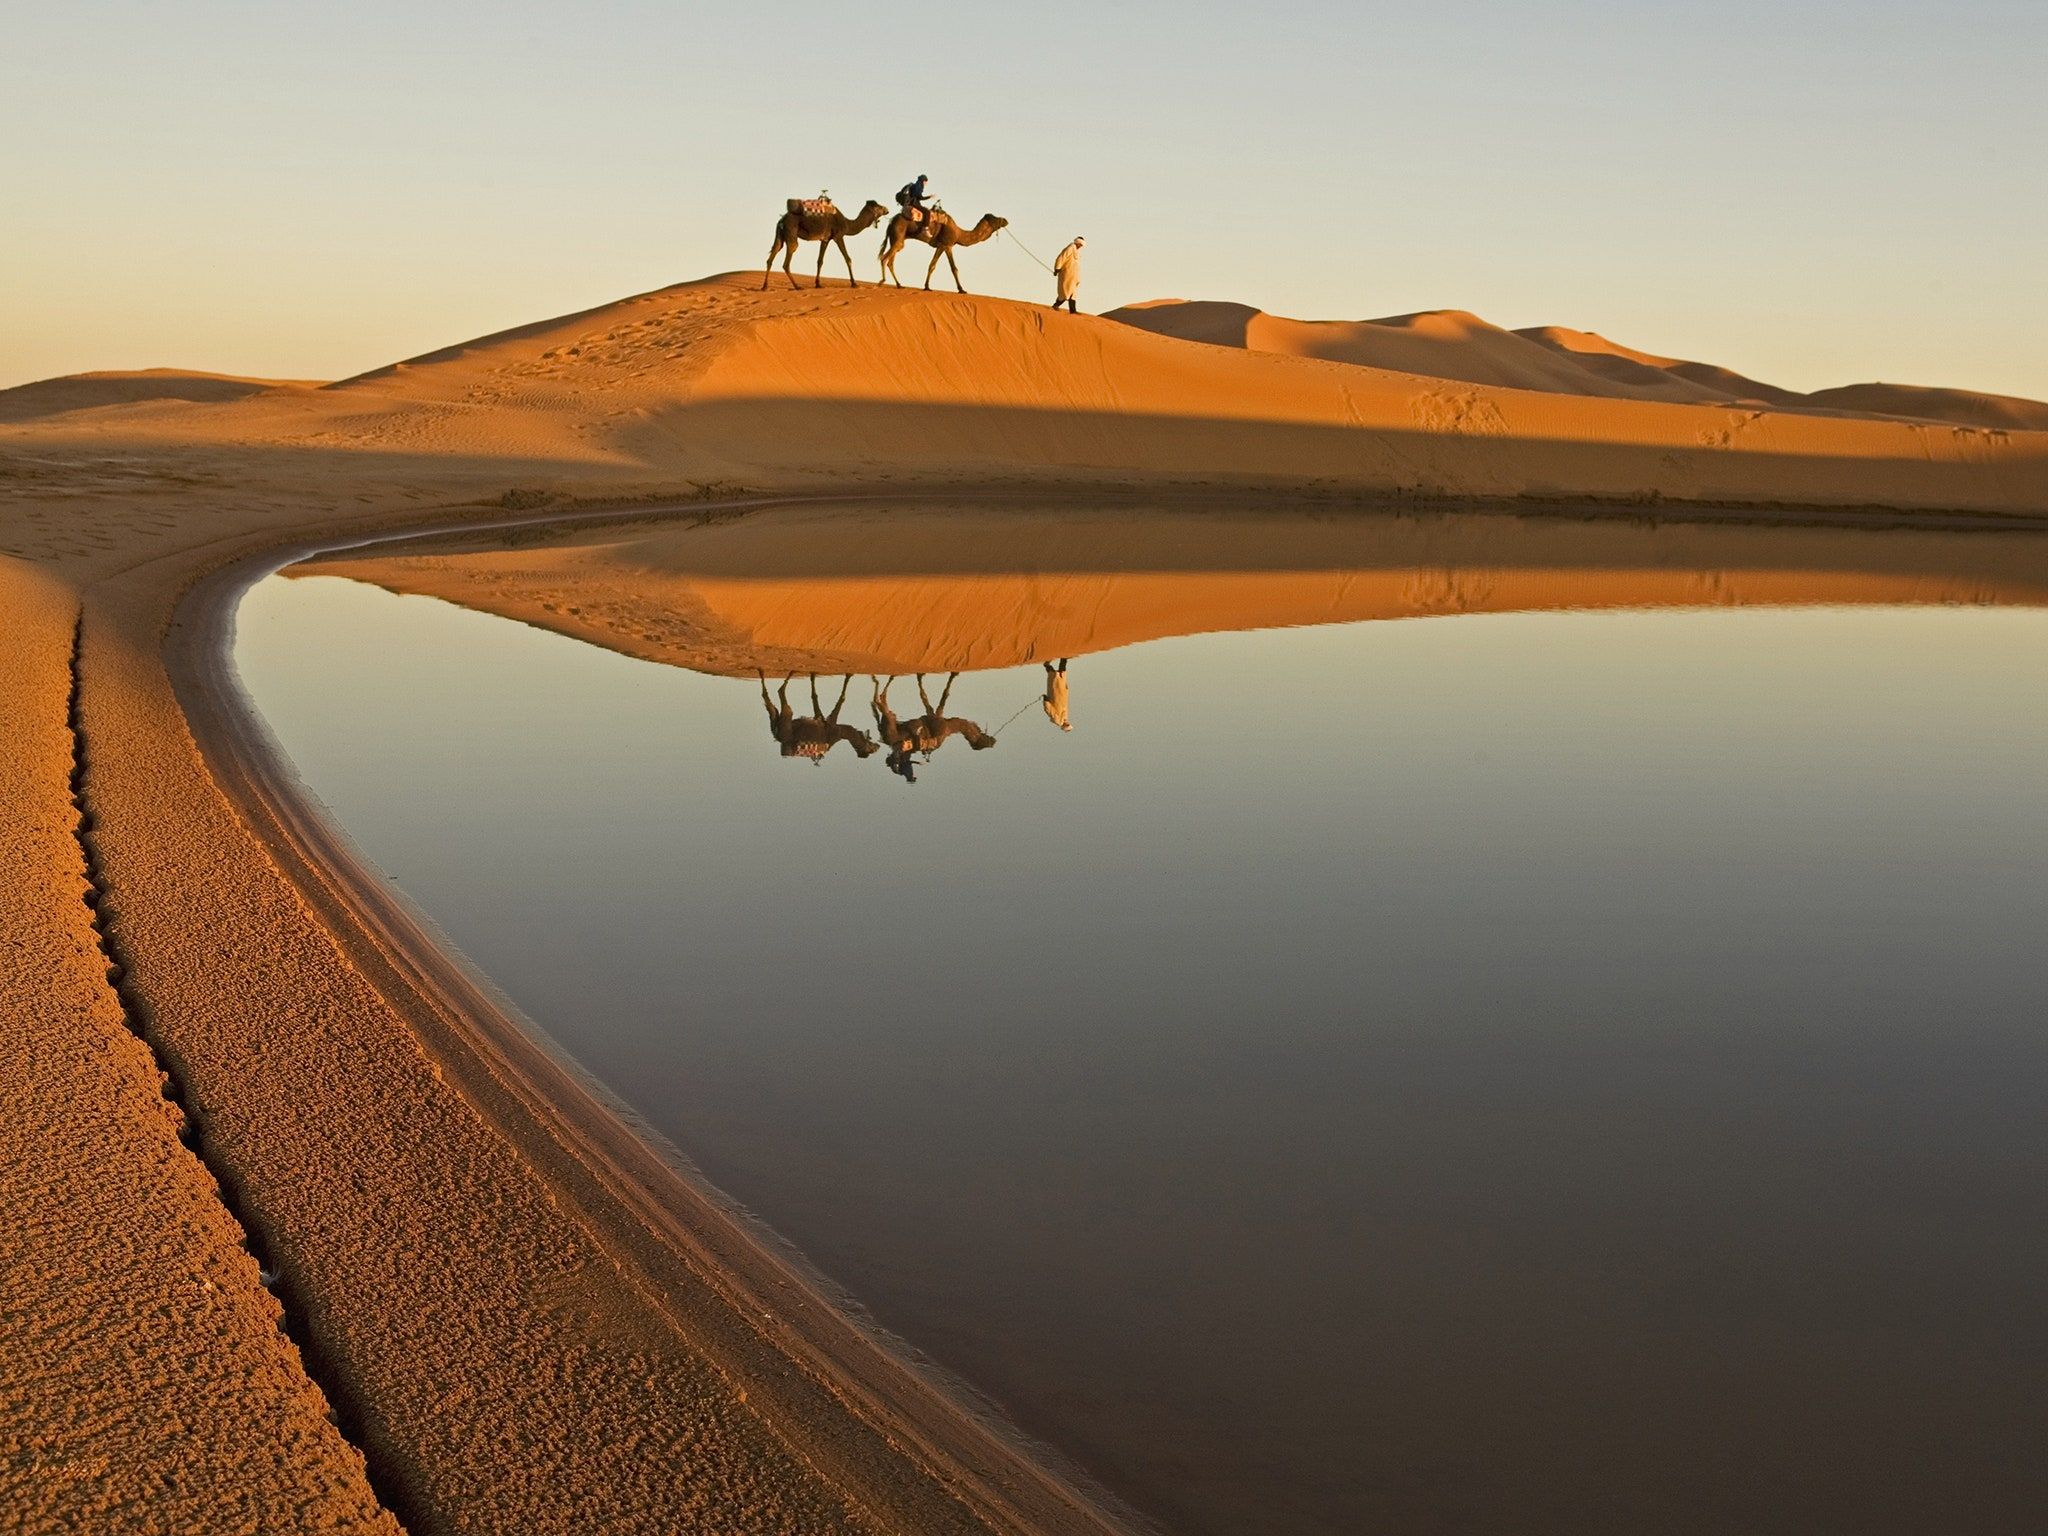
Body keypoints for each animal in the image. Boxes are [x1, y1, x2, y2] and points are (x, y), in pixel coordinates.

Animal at [877, 209, 1010, 292]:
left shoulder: (939, 246)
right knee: (884, 258)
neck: (959, 233)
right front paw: (961, 289)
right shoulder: (947, 245)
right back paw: (881, 282)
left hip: (897, 239)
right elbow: (953, 268)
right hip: (898, 236)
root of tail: (891, 222)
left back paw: (899, 285)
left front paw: (927, 287)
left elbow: (932, 265)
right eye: (994, 218)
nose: (1005, 220)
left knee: (890, 261)